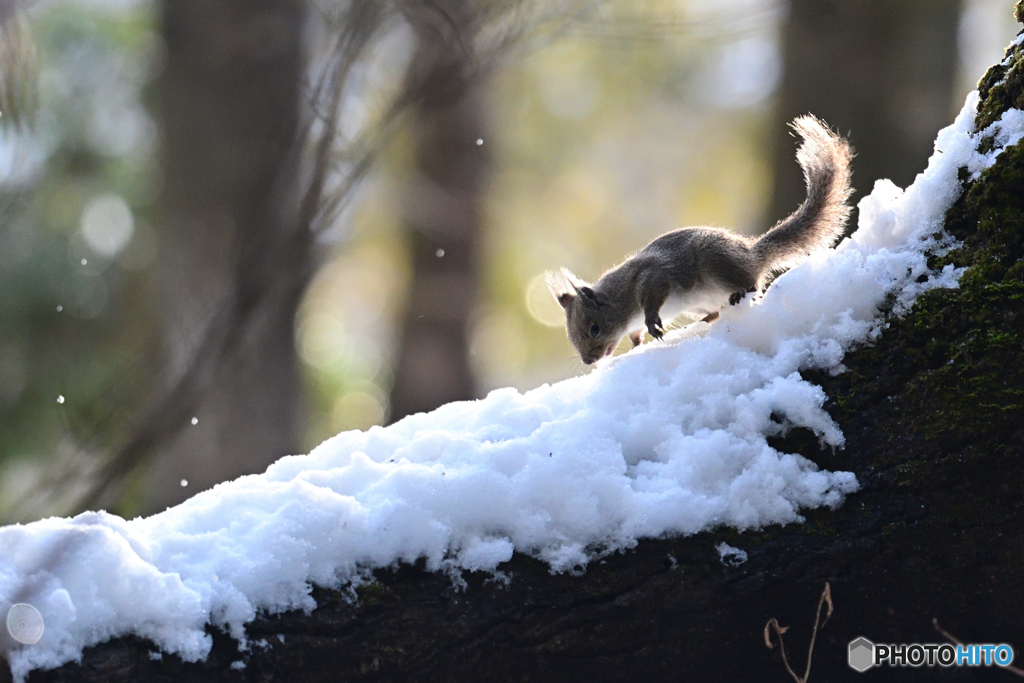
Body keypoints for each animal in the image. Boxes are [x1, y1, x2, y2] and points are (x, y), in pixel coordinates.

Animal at [548, 114, 851, 366]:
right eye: (571, 336)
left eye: (594, 328)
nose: (589, 361)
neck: (619, 298)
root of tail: (751, 255)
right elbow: (635, 334)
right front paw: (637, 343)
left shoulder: (651, 277)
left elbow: (652, 299)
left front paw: (651, 322)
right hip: (700, 302)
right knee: (716, 312)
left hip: (716, 263)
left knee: (752, 285)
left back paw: (740, 291)